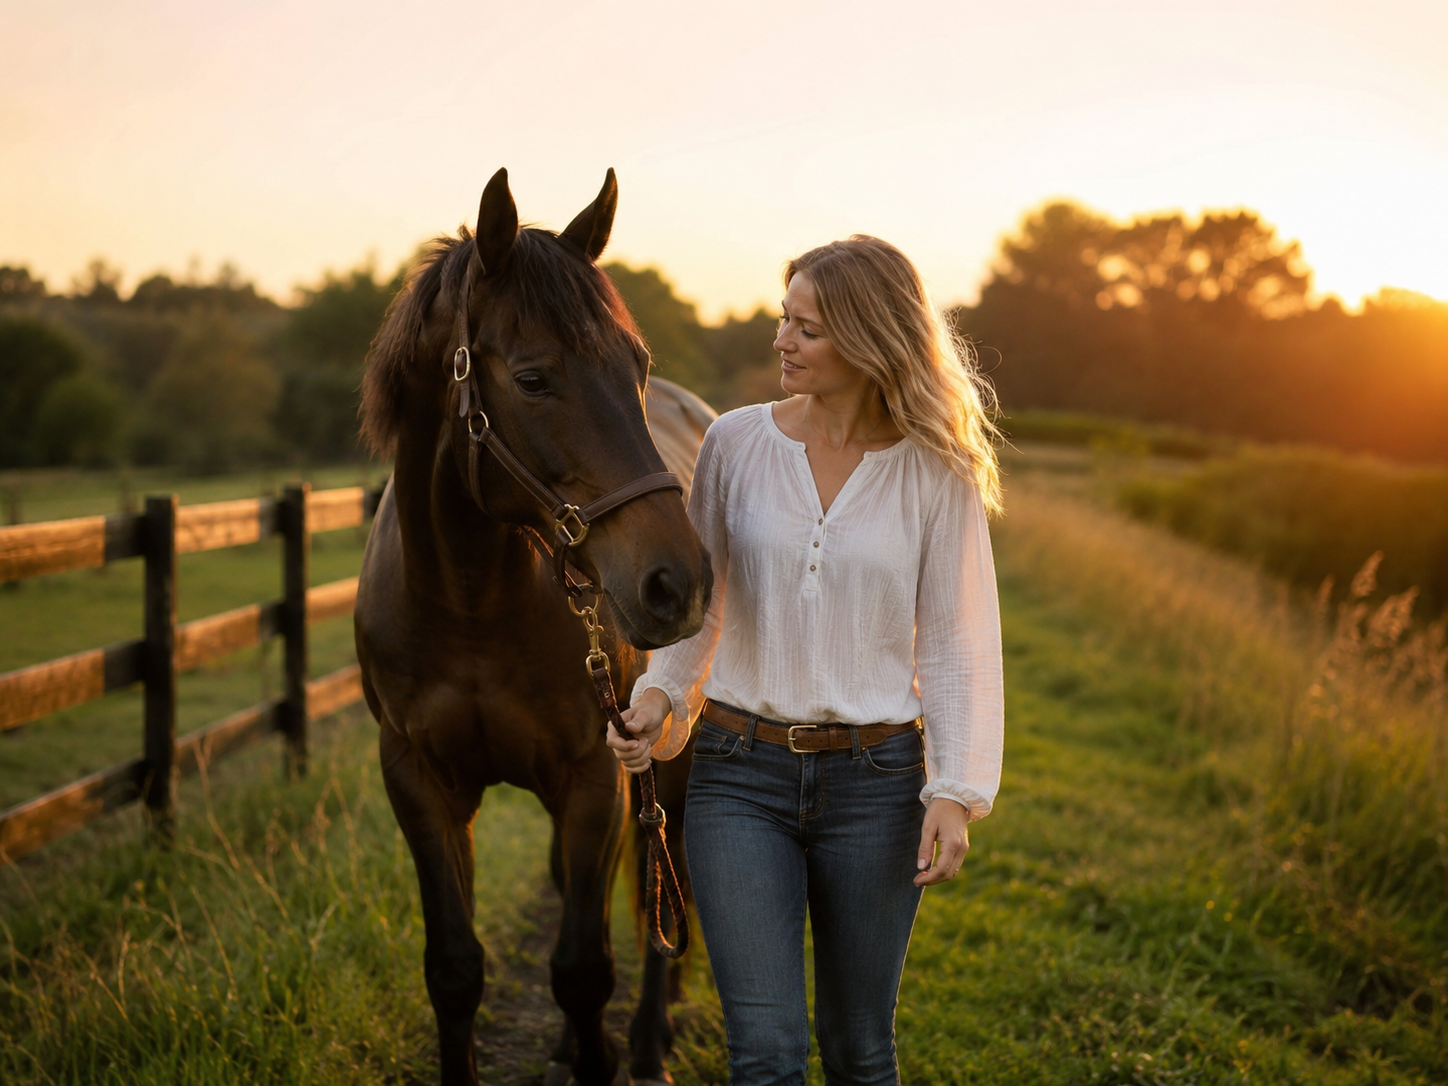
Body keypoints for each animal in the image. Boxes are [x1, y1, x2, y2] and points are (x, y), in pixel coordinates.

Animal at [354, 167, 714, 1086]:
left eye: (635, 364)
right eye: (532, 378)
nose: (680, 581)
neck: (469, 603)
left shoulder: (597, 774)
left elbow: (584, 969)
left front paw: (611, 1051)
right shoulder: (418, 781)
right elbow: (454, 969)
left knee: (667, 877)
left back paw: (650, 1039)